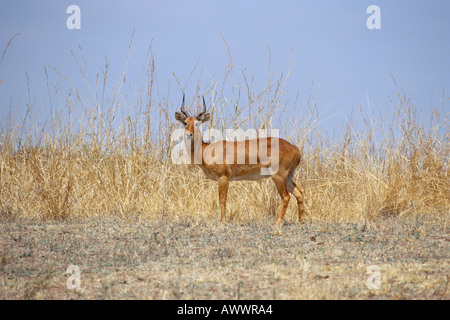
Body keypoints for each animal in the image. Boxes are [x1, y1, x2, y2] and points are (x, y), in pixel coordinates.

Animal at [174, 94, 304, 225]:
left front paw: (223, 221)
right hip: (288, 177)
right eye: (185, 122)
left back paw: (277, 222)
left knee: (286, 196)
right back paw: (301, 221)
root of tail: (296, 148)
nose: (189, 134)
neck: (206, 149)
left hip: (279, 176)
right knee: (299, 193)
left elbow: (222, 199)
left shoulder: (223, 178)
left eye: (197, 123)